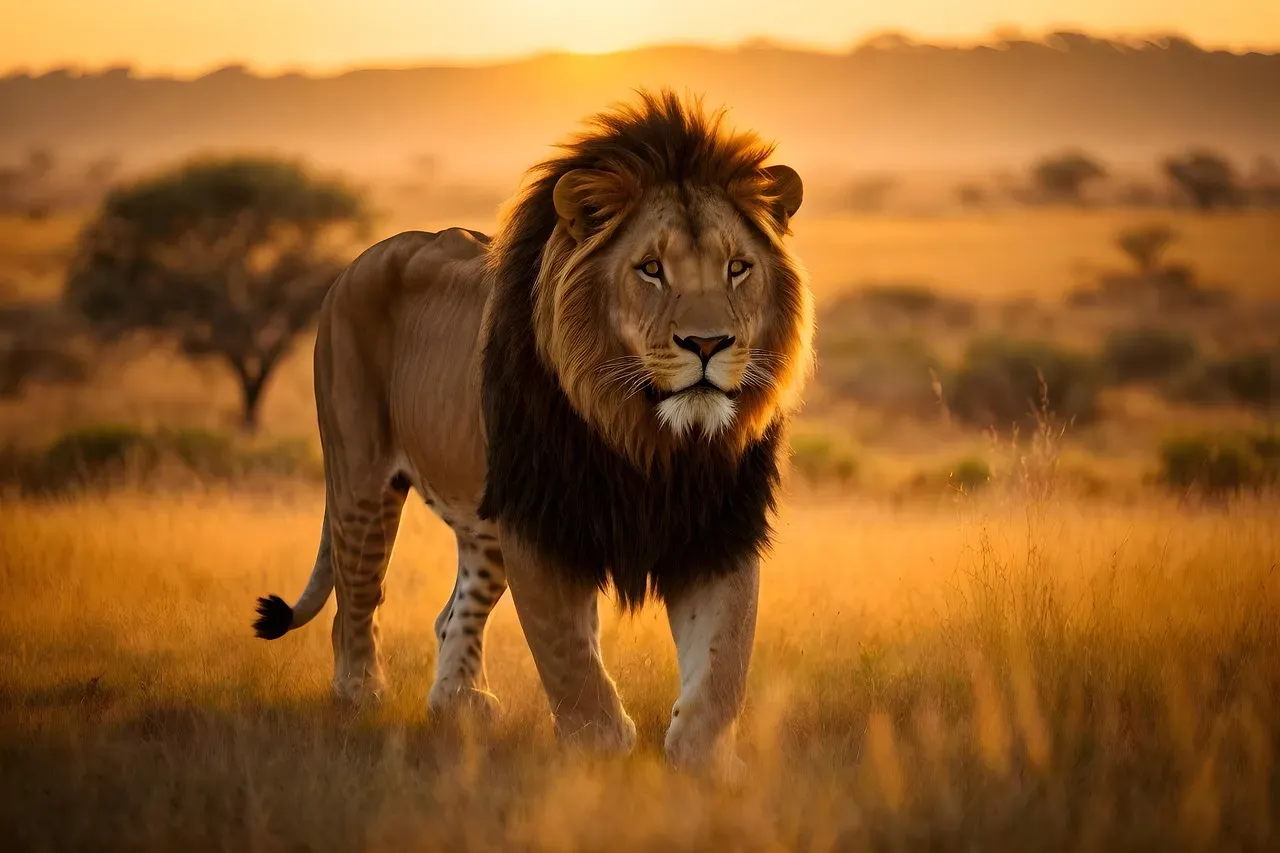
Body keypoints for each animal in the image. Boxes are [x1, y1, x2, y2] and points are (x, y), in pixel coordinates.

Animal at [253, 90, 813, 770]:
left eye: (737, 268)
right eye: (651, 269)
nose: (708, 344)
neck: (651, 440)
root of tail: (361, 259)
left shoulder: (719, 526)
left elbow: (724, 658)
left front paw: (704, 762)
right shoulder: (541, 524)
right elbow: (568, 656)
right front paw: (601, 752)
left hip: (484, 522)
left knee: (452, 613)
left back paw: (459, 703)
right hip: (361, 478)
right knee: (355, 599)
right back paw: (361, 697)